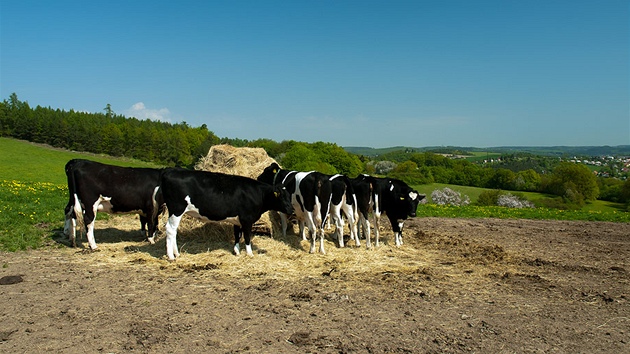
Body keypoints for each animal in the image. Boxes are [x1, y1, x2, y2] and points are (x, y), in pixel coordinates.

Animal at [158, 169, 296, 260]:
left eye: (289, 195)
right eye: (281, 196)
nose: (292, 210)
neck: (258, 193)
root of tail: (169, 171)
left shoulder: (238, 220)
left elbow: (237, 235)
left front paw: (237, 251)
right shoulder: (247, 219)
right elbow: (247, 237)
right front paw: (250, 253)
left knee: (174, 231)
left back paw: (177, 253)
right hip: (177, 210)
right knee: (170, 230)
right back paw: (171, 256)